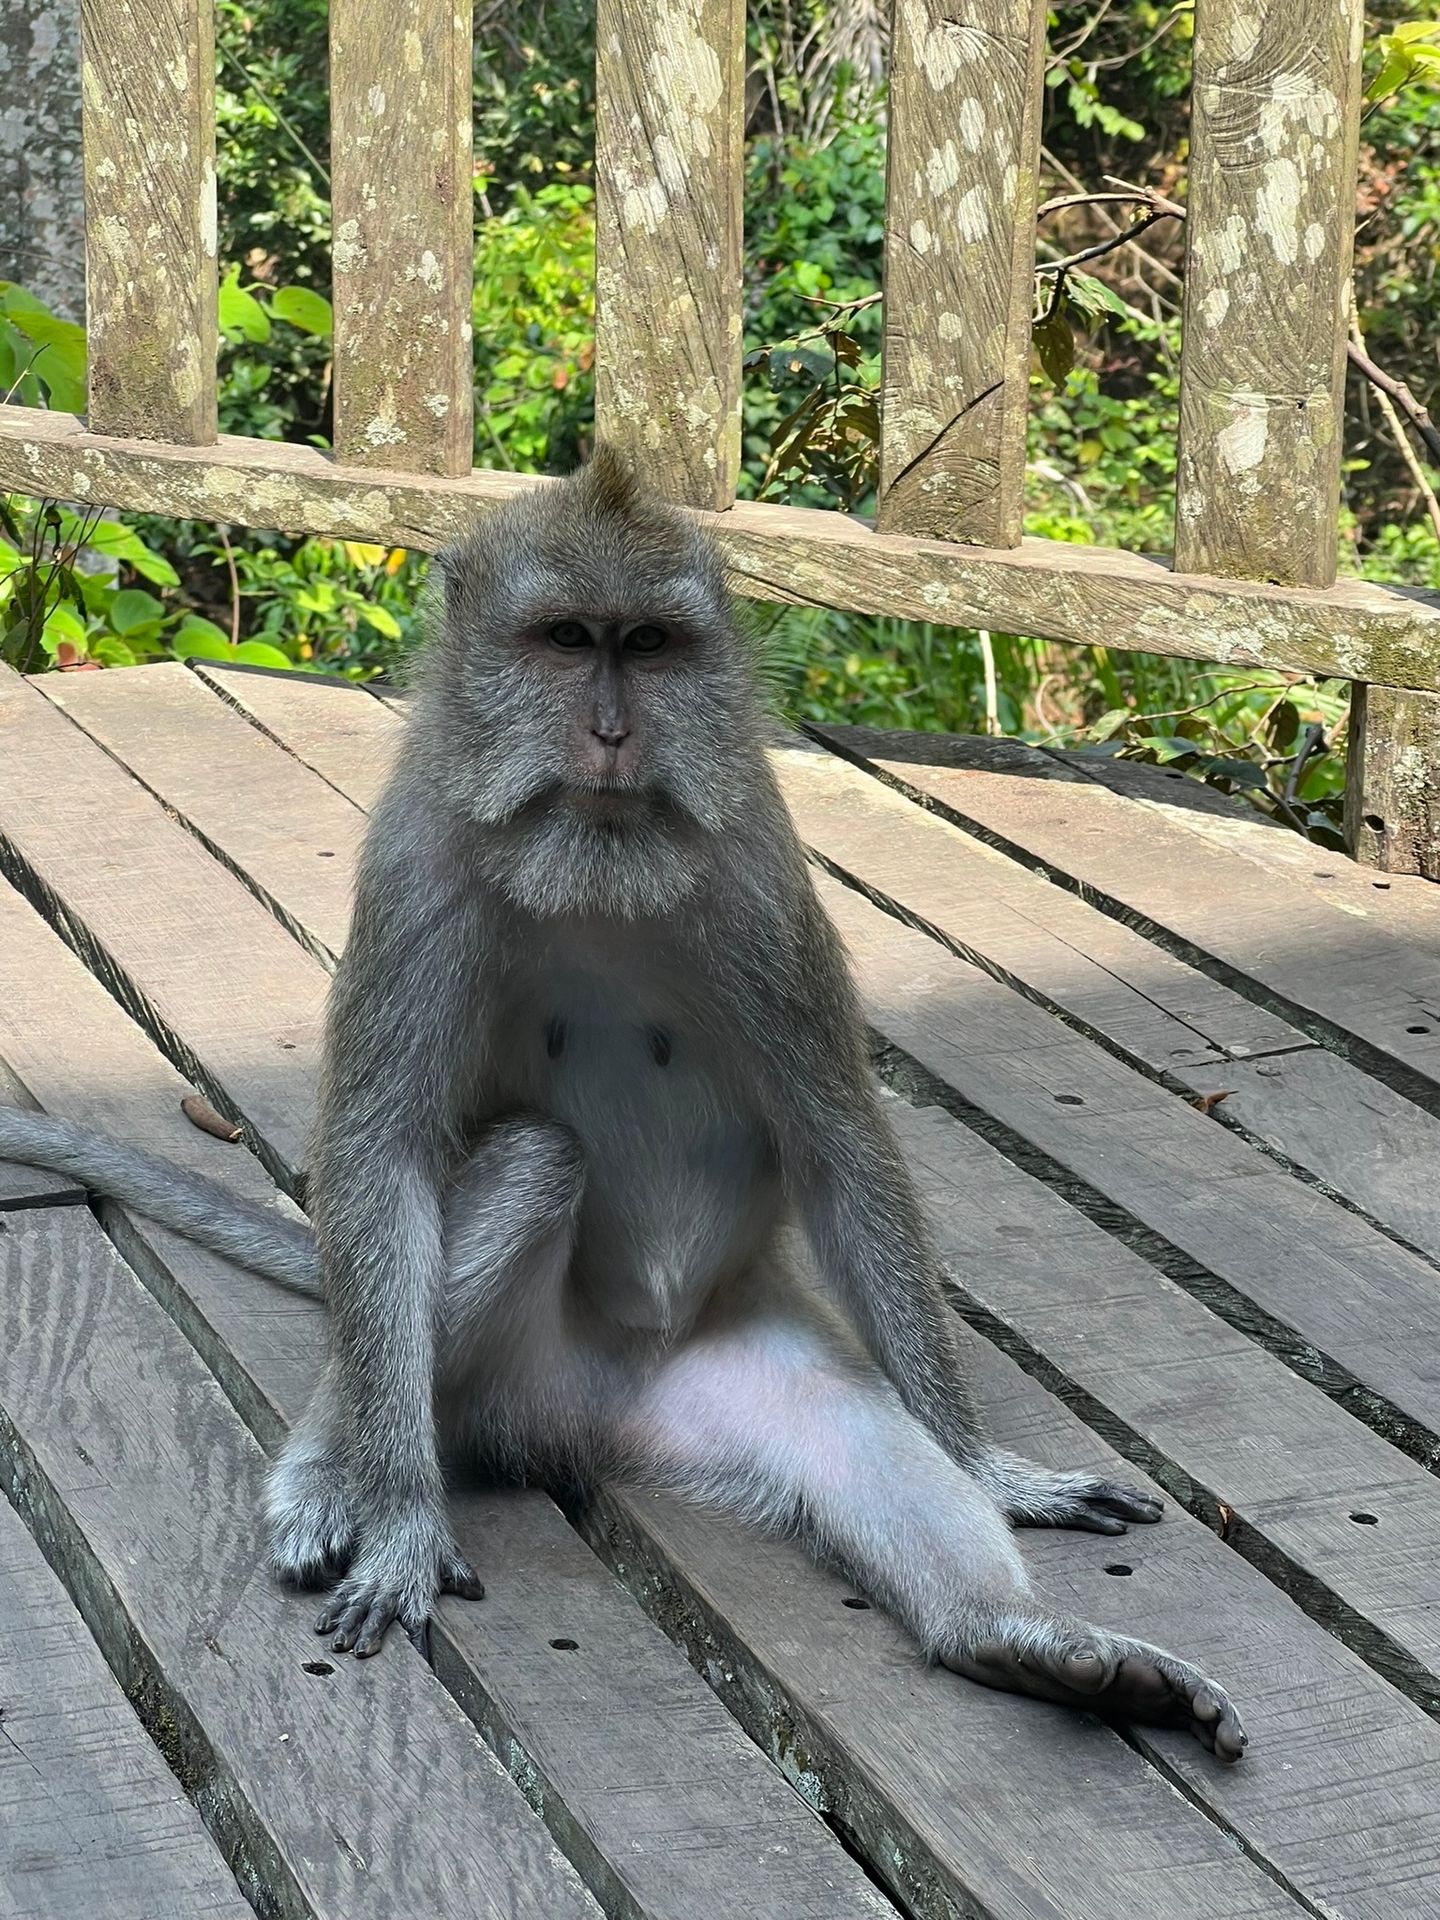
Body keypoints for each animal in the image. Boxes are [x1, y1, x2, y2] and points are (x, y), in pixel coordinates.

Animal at [0, 448, 1245, 1761]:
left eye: (645, 645)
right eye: (564, 640)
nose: (608, 731)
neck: (597, 866)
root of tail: (602, 1417)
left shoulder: (763, 879)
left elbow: (841, 1143)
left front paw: (993, 1469)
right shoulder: (417, 869)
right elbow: (386, 1155)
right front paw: (397, 1518)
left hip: (734, 1375)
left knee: (855, 1439)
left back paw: (1020, 1642)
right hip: (499, 1381)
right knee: (524, 1173)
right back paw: (338, 1461)